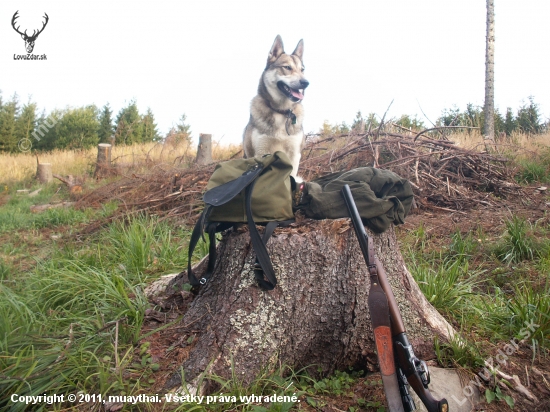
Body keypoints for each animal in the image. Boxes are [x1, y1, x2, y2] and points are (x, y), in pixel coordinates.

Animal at [243, 33, 308, 179]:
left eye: (302, 70)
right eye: (287, 67)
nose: (306, 82)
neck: (281, 111)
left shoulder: (294, 154)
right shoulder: (260, 153)